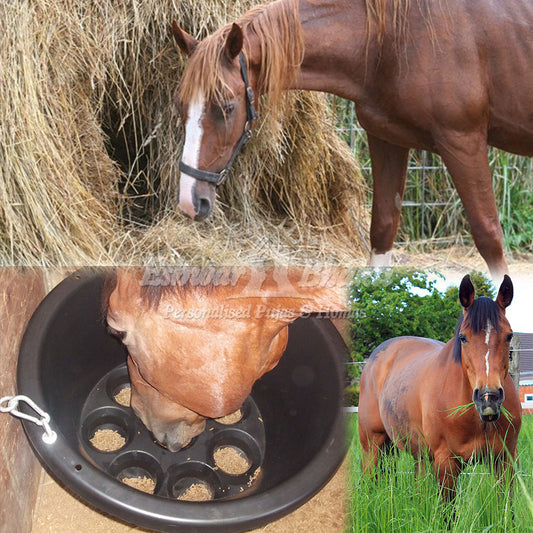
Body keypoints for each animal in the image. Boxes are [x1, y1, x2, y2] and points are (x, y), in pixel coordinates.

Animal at [172, 0, 532, 274]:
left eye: (227, 107)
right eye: (181, 105)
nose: (190, 201)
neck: (395, 39)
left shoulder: (463, 142)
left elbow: (489, 237)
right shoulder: (388, 140)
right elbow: (382, 230)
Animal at [356, 274, 520, 498]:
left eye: (509, 335)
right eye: (463, 337)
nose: (489, 398)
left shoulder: (505, 460)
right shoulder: (446, 463)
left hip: (419, 455)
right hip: (371, 447)